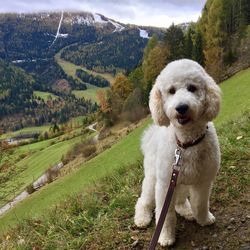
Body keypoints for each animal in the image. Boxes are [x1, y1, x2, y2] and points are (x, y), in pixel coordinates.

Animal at [135, 59, 221, 247]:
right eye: (171, 91)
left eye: (192, 88)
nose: (181, 107)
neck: (186, 144)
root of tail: (151, 135)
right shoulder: (164, 185)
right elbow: (165, 215)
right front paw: (165, 237)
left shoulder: (203, 181)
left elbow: (200, 204)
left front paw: (203, 219)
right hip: (153, 178)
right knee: (144, 200)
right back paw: (142, 217)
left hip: (181, 181)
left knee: (180, 200)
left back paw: (186, 211)